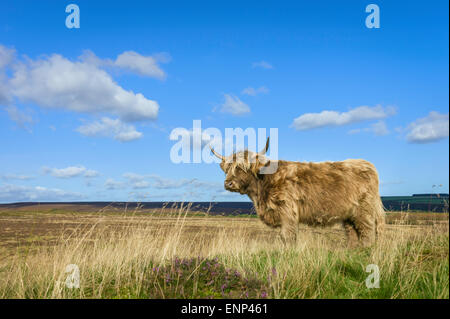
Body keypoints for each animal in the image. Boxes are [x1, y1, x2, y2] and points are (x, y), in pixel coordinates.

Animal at [210, 138, 384, 248]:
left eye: (242, 168)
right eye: (227, 168)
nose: (228, 183)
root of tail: (367, 164)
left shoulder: (288, 212)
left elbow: (287, 237)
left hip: (364, 211)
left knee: (367, 233)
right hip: (349, 215)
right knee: (353, 234)